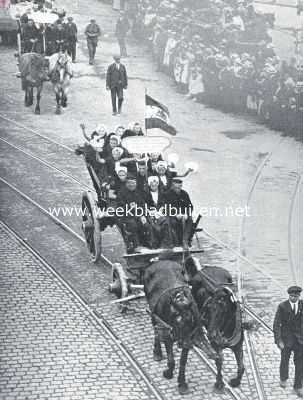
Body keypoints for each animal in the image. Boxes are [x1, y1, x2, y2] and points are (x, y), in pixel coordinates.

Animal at [144, 255, 217, 396]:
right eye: (176, 315)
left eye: (191, 317)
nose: (182, 341)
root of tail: (160, 261)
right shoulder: (168, 334)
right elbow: (171, 360)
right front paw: (168, 373)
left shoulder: (188, 339)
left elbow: (183, 362)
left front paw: (182, 383)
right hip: (153, 312)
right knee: (155, 328)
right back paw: (157, 352)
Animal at [189, 260, 246, 392]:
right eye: (208, 309)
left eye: (223, 311)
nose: (211, 334)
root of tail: (207, 268)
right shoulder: (216, 344)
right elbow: (219, 360)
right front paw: (219, 383)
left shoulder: (238, 344)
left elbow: (241, 366)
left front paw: (236, 381)